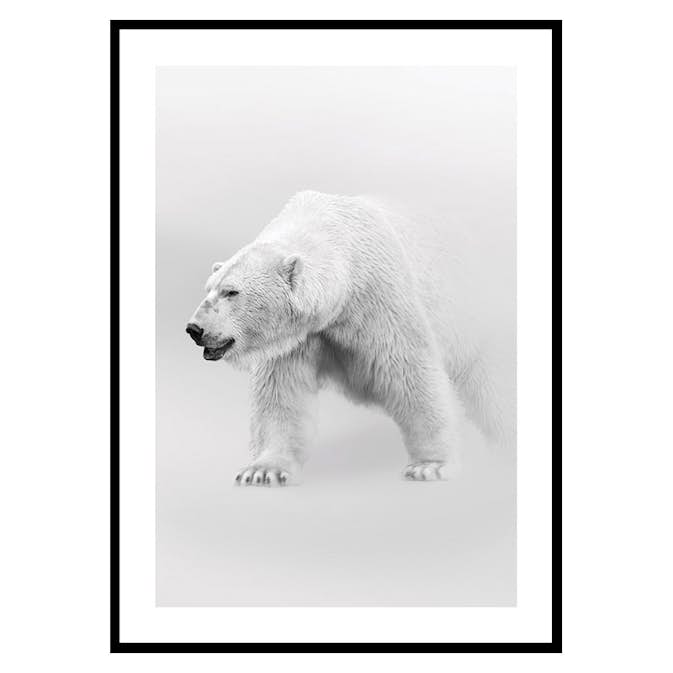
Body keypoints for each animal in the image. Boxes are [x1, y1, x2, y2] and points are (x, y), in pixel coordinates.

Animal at [186, 190, 513, 486]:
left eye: (231, 291)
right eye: (208, 288)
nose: (194, 329)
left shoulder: (378, 299)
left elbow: (410, 373)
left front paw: (430, 466)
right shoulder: (296, 337)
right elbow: (281, 393)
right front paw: (263, 470)